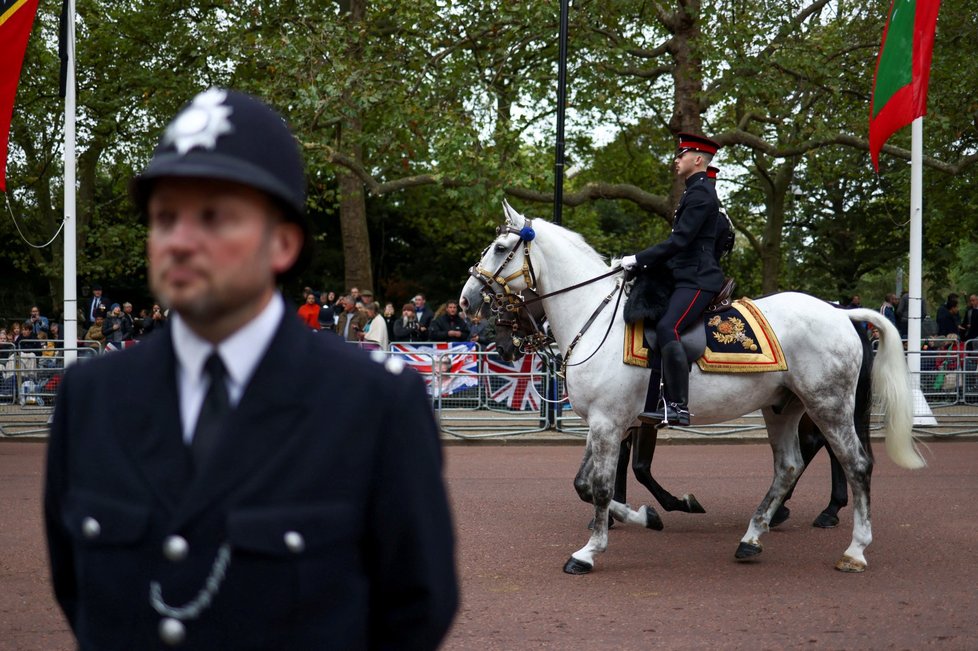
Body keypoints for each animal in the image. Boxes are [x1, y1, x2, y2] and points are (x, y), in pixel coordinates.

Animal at [458, 202, 924, 576]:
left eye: (500, 248)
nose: (466, 300)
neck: (596, 317)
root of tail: (841, 313)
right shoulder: (603, 423)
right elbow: (585, 484)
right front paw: (646, 516)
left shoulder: (611, 423)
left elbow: (603, 486)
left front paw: (590, 551)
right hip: (782, 408)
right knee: (789, 465)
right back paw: (752, 538)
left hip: (828, 404)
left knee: (855, 463)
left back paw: (854, 550)